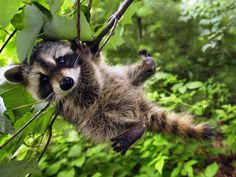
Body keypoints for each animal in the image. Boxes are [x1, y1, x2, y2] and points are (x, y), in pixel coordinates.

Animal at [3, 41, 215, 155]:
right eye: (44, 80)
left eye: (61, 60)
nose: (66, 83)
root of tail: (139, 107)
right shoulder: (72, 103)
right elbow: (90, 94)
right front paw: (85, 61)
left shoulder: (101, 69)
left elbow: (98, 61)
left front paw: (90, 52)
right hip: (101, 116)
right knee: (99, 123)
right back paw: (135, 128)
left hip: (123, 79)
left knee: (129, 74)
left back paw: (147, 67)